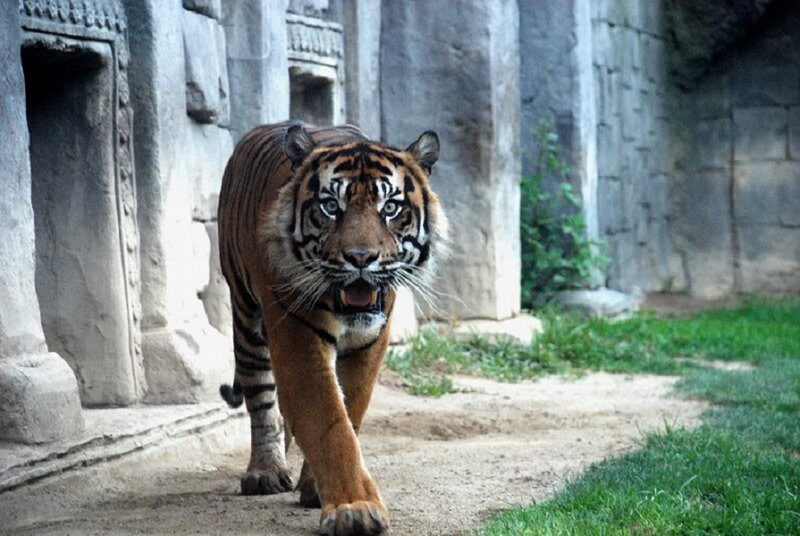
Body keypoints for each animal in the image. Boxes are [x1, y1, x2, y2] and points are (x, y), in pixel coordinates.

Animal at [216, 121, 448, 536]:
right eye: (330, 207)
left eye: (390, 208)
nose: (361, 258)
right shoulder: (296, 335)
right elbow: (329, 420)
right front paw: (354, 510)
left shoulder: (370, 344)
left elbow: (349, 411)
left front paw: (317, 488)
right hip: (244, 312)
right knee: (261, 397)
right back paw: (265, 471)